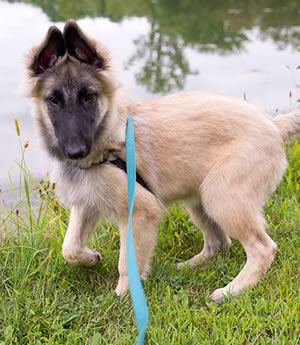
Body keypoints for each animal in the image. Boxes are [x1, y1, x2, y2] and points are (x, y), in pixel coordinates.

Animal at [25, 20, 300, 300]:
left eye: (88, 96)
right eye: (53, 100)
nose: (75, 151)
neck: (108, 141)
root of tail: (274, 124)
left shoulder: (140, 211)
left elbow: (127, 263)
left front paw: (124, 297)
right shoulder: (87, 202)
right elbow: (69, 247)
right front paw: (91, 258)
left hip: (221, 196)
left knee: (262, 247)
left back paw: (233, 290)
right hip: (201, 199)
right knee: (219, 243)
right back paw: (189, 266)